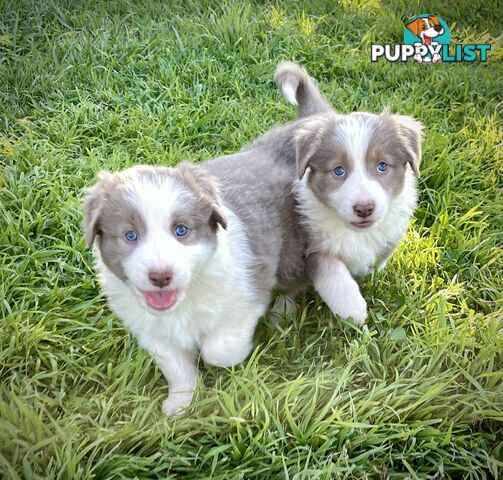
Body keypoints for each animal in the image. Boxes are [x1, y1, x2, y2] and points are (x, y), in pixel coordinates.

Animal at [274, 62, 424, 324]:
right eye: (338, 170)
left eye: (382, 166)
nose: (364, 208)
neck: (355, 232)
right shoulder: (310, 242)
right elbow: (330, 269)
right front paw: (352, 309)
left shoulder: (391, 235)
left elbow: (375, 261)